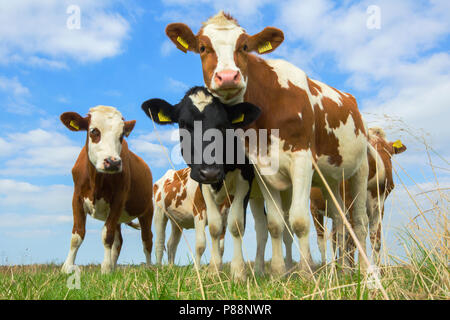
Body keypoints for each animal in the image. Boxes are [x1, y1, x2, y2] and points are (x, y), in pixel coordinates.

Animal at [60, 106, 155, 274]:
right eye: (94, 131)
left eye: (122, 135)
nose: (113, 162)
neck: (96, 180)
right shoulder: (77, 198)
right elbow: (77, 235)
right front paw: (67, 267)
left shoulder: (118, 200)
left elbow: (107, 235)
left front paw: (105, 269)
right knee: (119, 242)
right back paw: (114, 267)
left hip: (147, 210)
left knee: (147, 239)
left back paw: (149, 268)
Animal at [164, 11, 370, 272]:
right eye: (202, 47)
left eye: (244, 46)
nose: (228, 77)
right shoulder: (262, 169)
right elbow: (274, 224)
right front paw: (278, 271)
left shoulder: (302, 160)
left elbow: (299, 221)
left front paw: (305, 272)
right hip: (331, 180)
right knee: (340, 219)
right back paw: (341, 270)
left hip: (360, 168)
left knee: (360, 221)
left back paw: (364, 271)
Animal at [312, 127, 406, 264]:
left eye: (390, 153)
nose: (384, 179)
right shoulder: (350, 204)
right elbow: (352, 242)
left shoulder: (379, 206)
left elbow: (375, 241)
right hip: (314, 208)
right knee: (322, 240)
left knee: (336, 238)